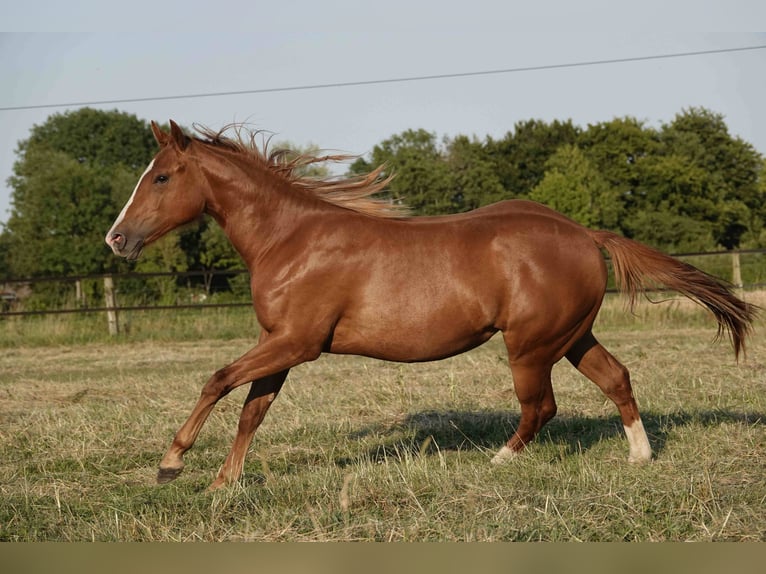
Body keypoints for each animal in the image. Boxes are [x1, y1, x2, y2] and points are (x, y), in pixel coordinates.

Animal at [106, 120, 757, 491]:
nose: (116, 239)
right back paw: (640, 458)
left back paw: (499, 462)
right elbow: (252, 411)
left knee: (541, 407)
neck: (288, 238)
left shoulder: (296, 343)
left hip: (530, 347)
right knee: (616, 378)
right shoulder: (280, 345)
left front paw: (171, 463)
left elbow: (217, 381)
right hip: (570, 337)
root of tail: (581, 233)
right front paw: (224, 483)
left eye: (161, 177)